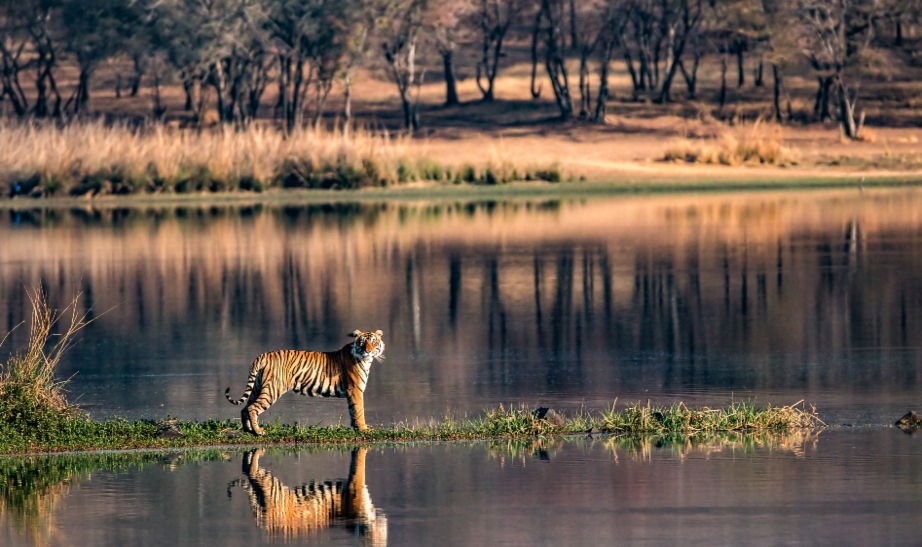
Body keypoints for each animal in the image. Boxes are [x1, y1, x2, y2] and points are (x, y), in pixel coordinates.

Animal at [225, 329, 385, 434]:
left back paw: (248, 429)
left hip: (258, 387)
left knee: (245, 408)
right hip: (272, 389)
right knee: (253, 408)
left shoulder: (353, 392)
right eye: (362, 343)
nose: (368, 351)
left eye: (373, 342)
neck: (366, 360)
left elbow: (353, 411)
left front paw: (357, 428)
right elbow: (359, 410)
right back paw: (258, 431)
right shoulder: (355, 390)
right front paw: (364, 428)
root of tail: (263, 355)